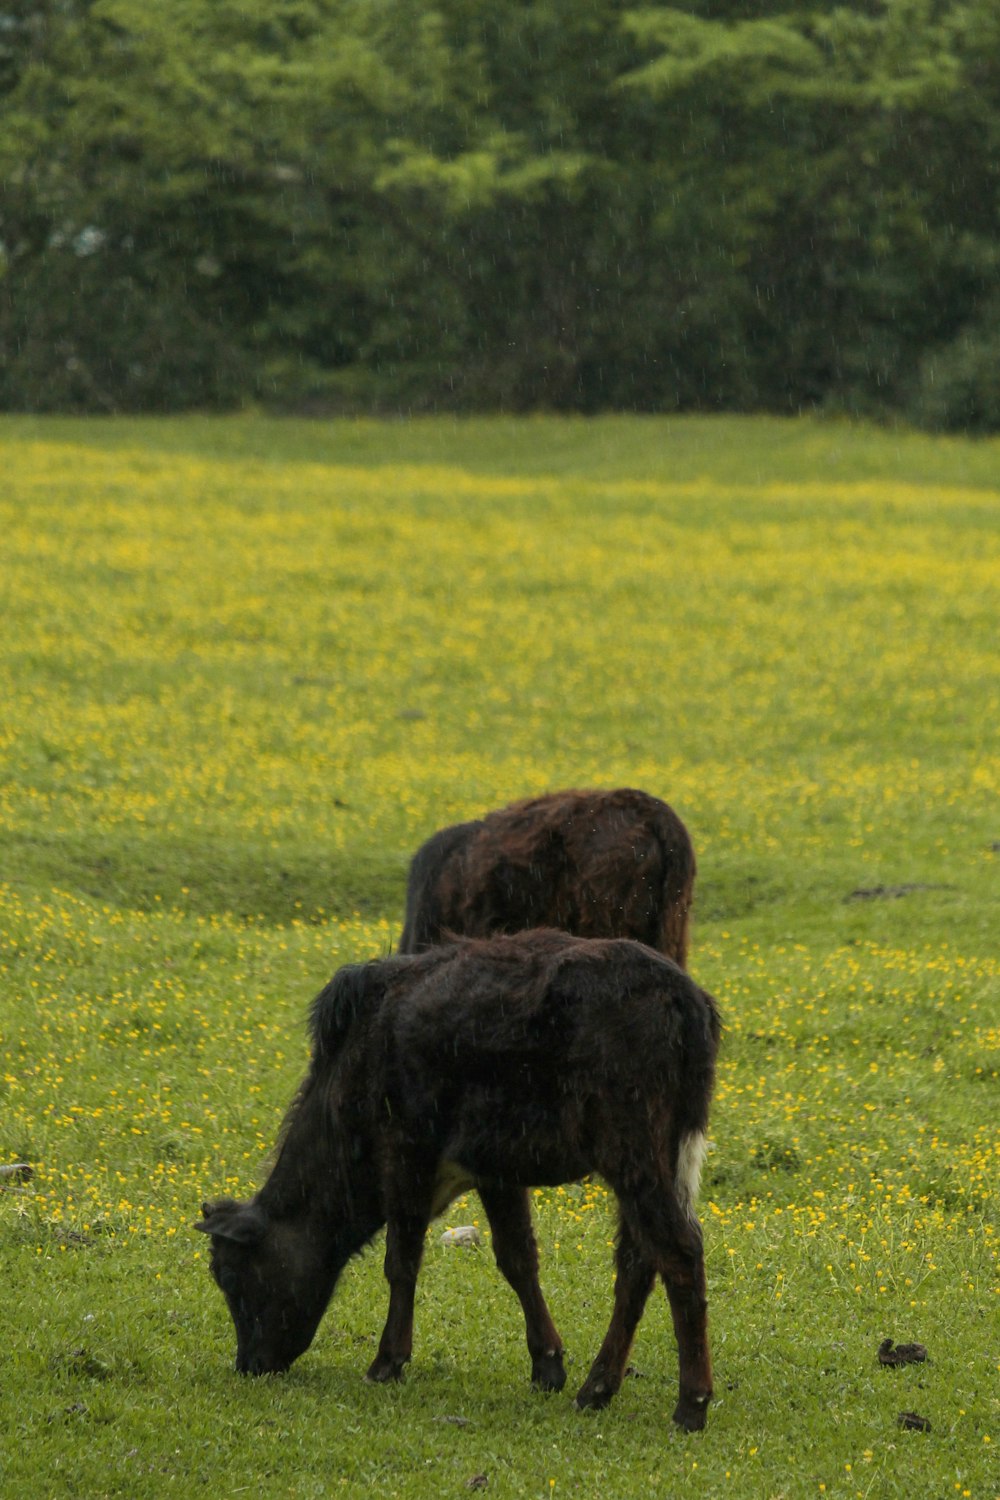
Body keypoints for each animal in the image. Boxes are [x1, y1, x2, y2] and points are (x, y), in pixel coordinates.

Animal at [194, 930, 719, 1434]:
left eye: (229, 1275)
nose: (250, 1364)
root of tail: (682, 993)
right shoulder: (495, 1169)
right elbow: (517, 1259)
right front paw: (547, 1365)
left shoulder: (407, 1150)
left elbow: (401, 1261)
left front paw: (387, 1361)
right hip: (659, 1157)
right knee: (636, 1262)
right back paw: (597, 1388)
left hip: (632, 1151)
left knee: (678, 1252)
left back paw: (690, 1406)